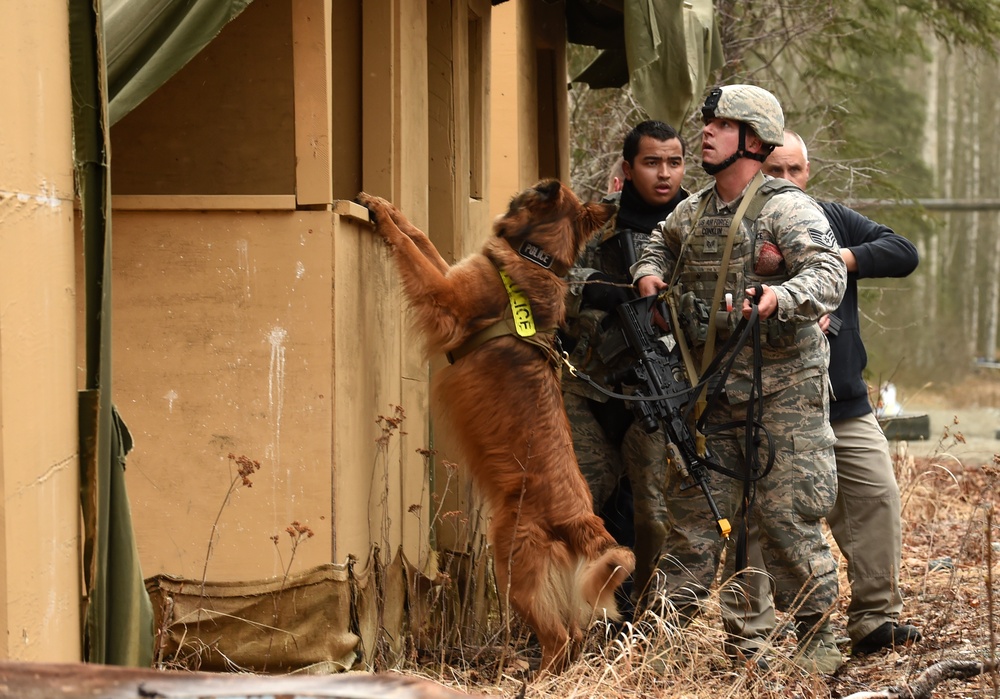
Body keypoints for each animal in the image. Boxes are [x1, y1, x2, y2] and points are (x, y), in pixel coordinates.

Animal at [358, 180, 632, 672]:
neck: (534, 256)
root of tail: (582, 518)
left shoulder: (446, 296)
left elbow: (409, 249)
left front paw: (384, 220)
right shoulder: (451, 273)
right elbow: (421, 238)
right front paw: (390, 208)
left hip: (510, 560)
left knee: (559, 637)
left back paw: (532, 681)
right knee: (574, 636)